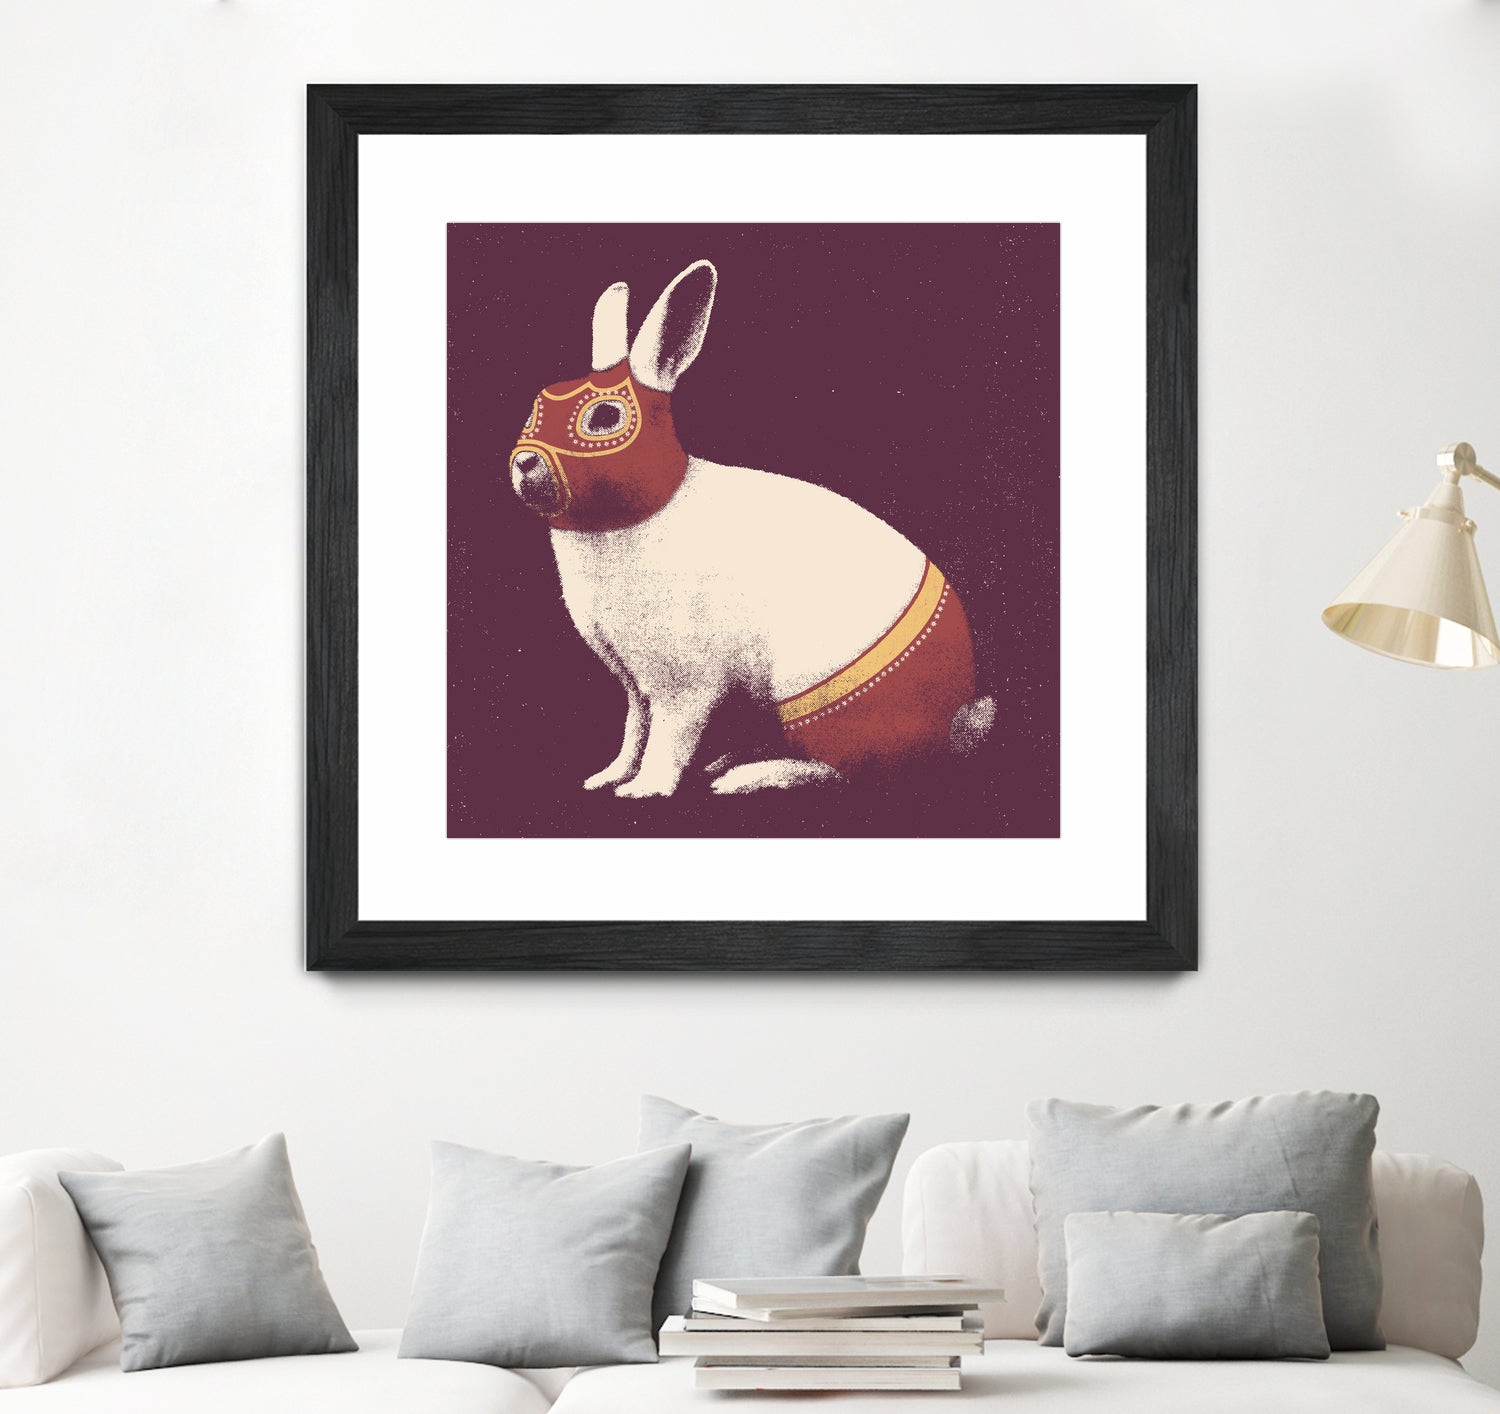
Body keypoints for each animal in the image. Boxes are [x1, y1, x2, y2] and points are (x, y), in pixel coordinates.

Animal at [508, 258, 996, 798]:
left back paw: (743, 777)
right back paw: (728, 762)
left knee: (839, 769)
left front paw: (645, 789)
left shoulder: (684, 684)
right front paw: (607, 777)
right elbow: (634, 729)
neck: (648, 508)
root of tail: (953, 722)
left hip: (813, 698)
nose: (524, 462)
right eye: (538, 404)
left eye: (605, 417)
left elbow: (668, 737)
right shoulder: (635, 684)